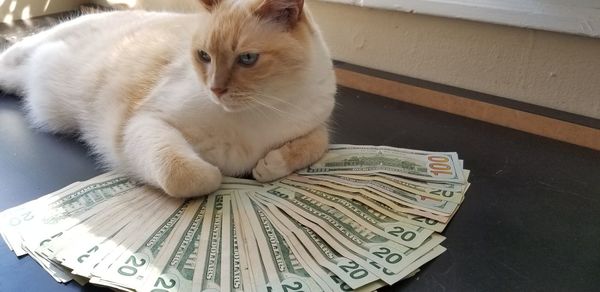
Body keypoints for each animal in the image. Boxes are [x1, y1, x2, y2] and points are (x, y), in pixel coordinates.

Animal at [0, 0, 338, 197]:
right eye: (204, 56)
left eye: (247, 59)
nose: (215, 89)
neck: (262, 109)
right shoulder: (147, 122)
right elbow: (192, 176)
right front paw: (219, 173)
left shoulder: (315, 124)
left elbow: (313, 145)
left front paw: (267, 167)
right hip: (26, 56)